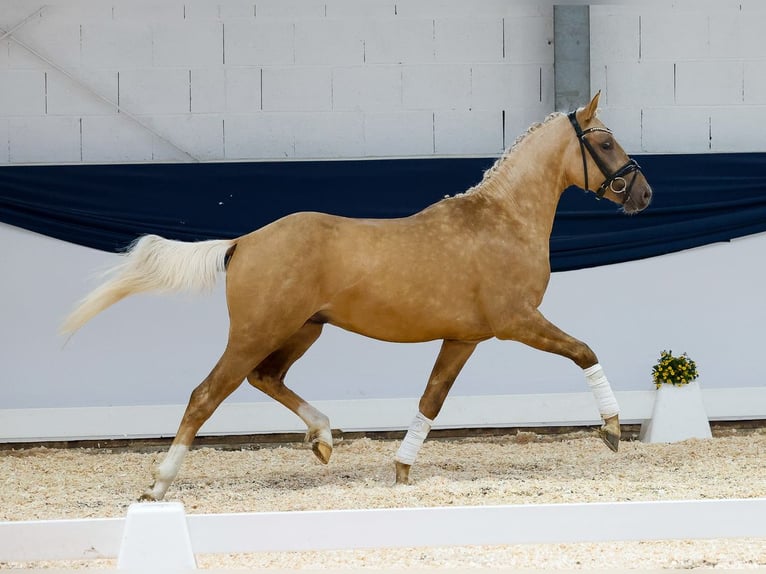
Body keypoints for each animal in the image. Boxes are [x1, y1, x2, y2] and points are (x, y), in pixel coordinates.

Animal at [64, 92, 656, 502]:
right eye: (605, 142)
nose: (645, 194)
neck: (502, 220)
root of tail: (243, 241)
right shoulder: (517, 321)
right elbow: (584, 351)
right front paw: (611, 431)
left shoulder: (464, 338)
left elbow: (430, 401)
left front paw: (401, 469)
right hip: (257, 332)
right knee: (206, 394)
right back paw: (159, 485)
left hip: (303, 329)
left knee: (266, 378)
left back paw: (324, 437)